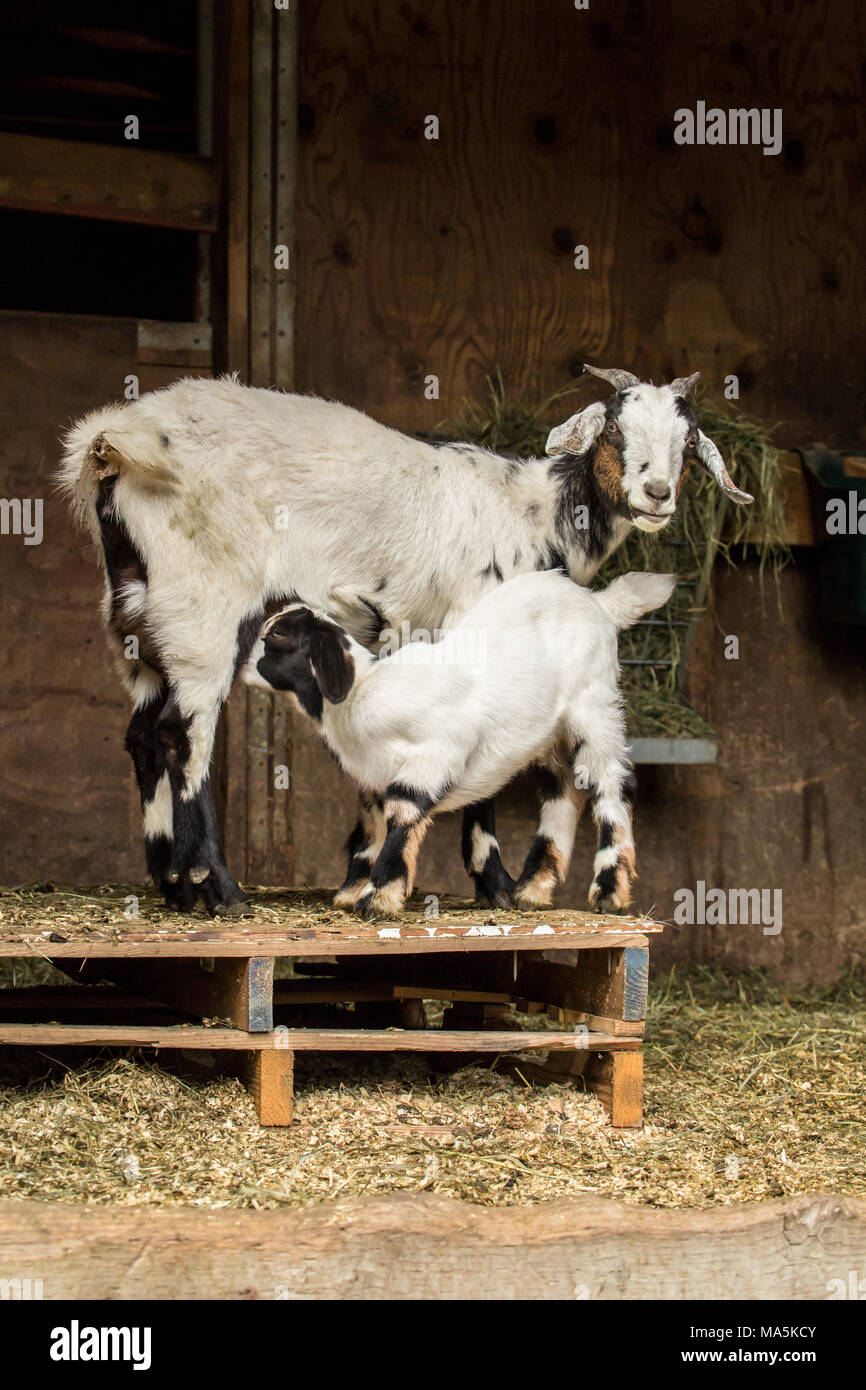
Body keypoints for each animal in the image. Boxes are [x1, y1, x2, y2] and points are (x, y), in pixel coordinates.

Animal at [242, 570, 677, 917]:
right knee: (564, 793)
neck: (364, 692)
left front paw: (378, 900)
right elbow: (370, 831)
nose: (239, 662)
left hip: (595, 707)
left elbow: (405, 810)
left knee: (612, 787)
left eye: (278, 635)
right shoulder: (371, 783)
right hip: (548, 737)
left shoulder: (435, 754)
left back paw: (609, 893)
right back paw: (533, 890)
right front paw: (352, 891)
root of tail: (599, 602)